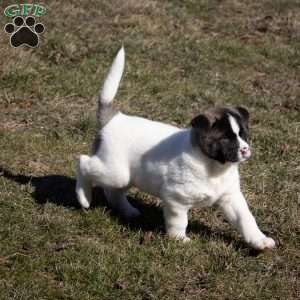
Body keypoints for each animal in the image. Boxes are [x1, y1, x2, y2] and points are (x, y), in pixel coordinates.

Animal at [76, 47, 276, 251]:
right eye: (226, 138)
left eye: (243, 134)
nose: (244, 150)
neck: (213, 166)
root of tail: (114, 118)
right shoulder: (176, 201)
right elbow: (179, 222)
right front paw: (179, 239)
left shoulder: (231, 198)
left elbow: (246, 219)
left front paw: (259, 240)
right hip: (114, 171)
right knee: (82, 162)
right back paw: (84, 197)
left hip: (125, 176)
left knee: (113, 192)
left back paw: (128, 211)